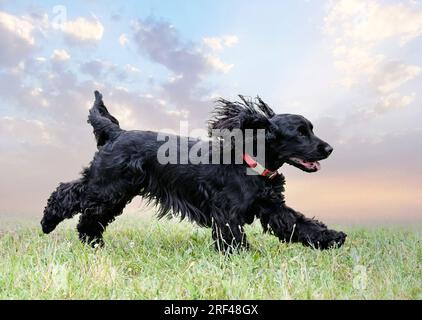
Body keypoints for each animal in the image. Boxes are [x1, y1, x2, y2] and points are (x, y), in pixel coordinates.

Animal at [41, 91, 346, 251]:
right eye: (301, 132)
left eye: (311, 129)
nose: (330, 148)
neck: (248, 162)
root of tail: (117, 132)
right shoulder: (227, 214)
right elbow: (232, 237)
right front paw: (240, 255)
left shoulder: (272, 207)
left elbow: (299, 223)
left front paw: (332, 238)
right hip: (106, 186)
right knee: (66, 193)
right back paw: (47, 223)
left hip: (115, 194)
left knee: (91, 216)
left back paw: (92, 243)